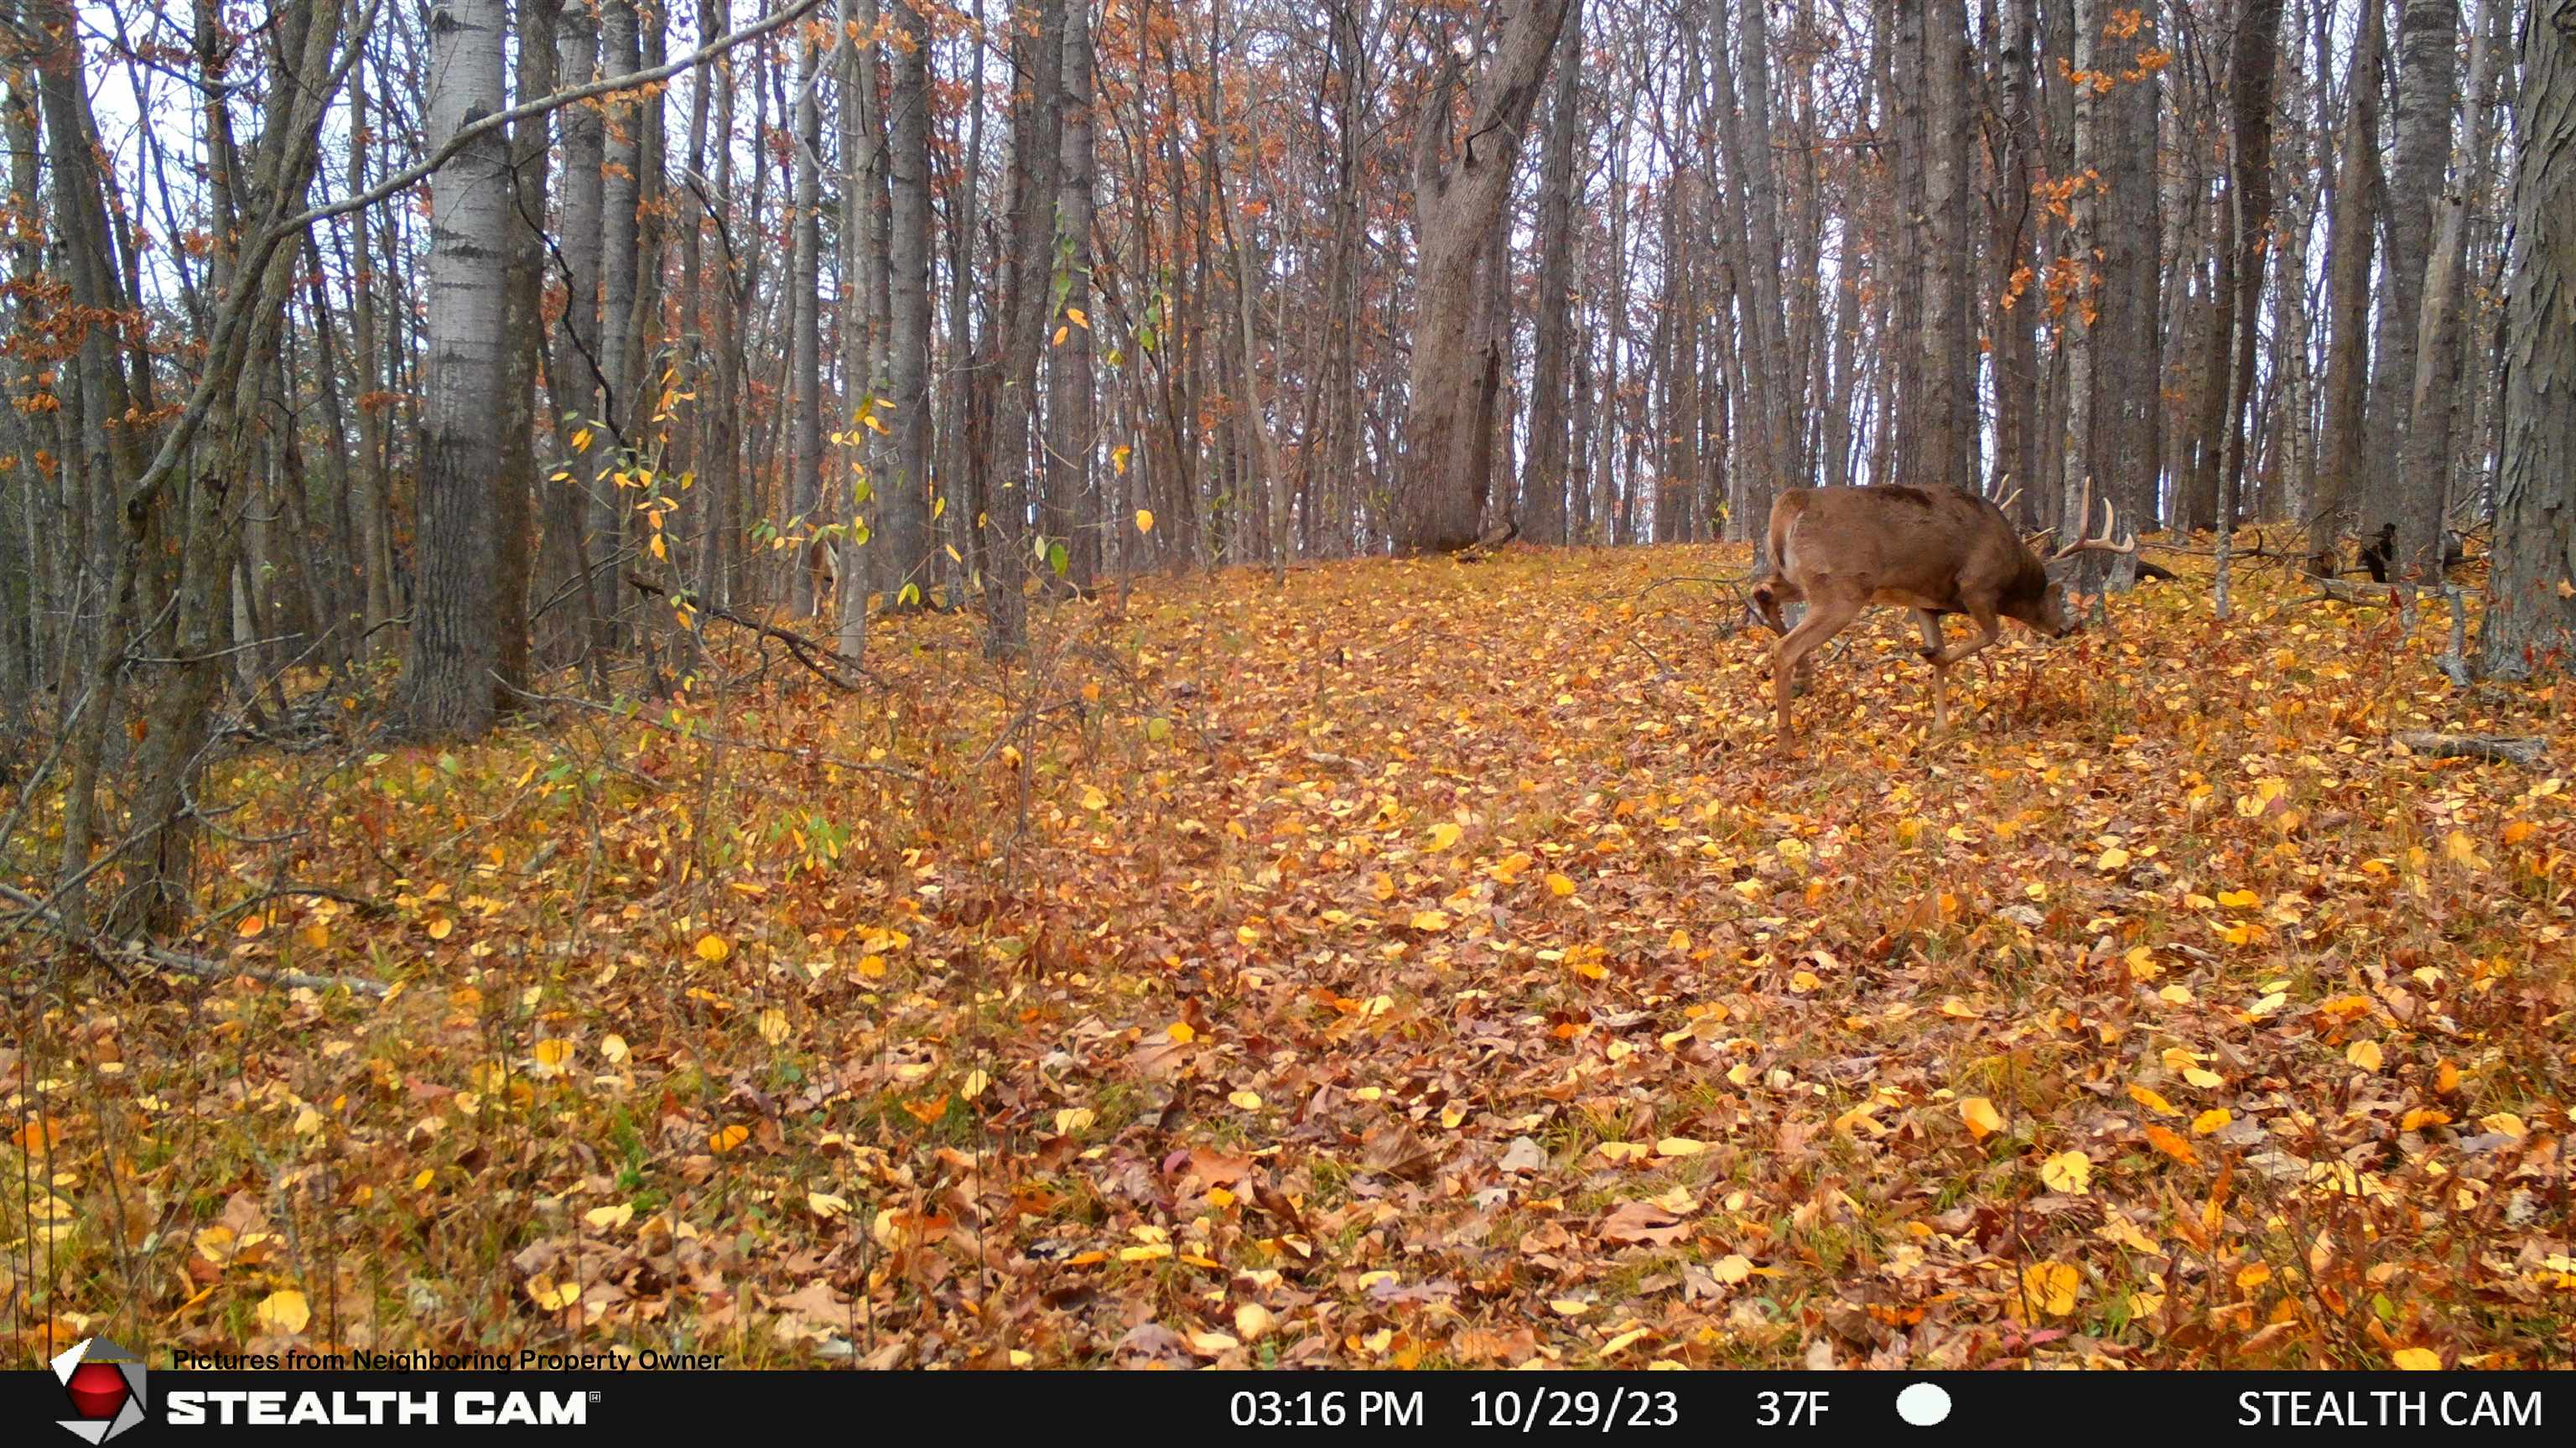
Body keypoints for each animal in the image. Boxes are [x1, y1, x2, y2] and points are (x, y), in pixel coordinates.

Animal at [1747, 478, 2135, 739]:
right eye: (2057, 593)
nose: (2065, 628)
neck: (2012, 569)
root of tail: (1791, 504)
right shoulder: (1977, 586)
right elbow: (1990, 636)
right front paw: (1932, 659)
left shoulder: (1925, 603)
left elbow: (1941, 660)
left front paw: (1941, 725)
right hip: (1841, 589)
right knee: (1783, 646)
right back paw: (1786, 737)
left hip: (1798, 579)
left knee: (1762, 592)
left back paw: (1803, 680)